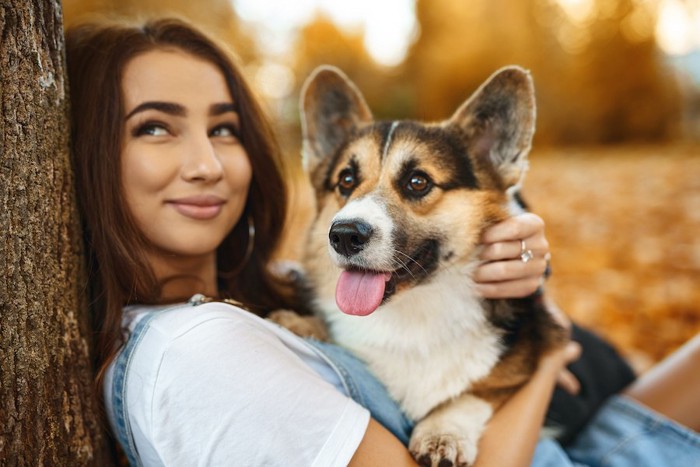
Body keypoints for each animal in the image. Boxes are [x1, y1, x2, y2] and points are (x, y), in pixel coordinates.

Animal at [292, 66, 568, 467]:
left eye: (417, 181)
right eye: (346, 179)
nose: (343, 235)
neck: (415, 312)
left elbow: (472, 393)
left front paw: (442, 434)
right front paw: (296, 322)